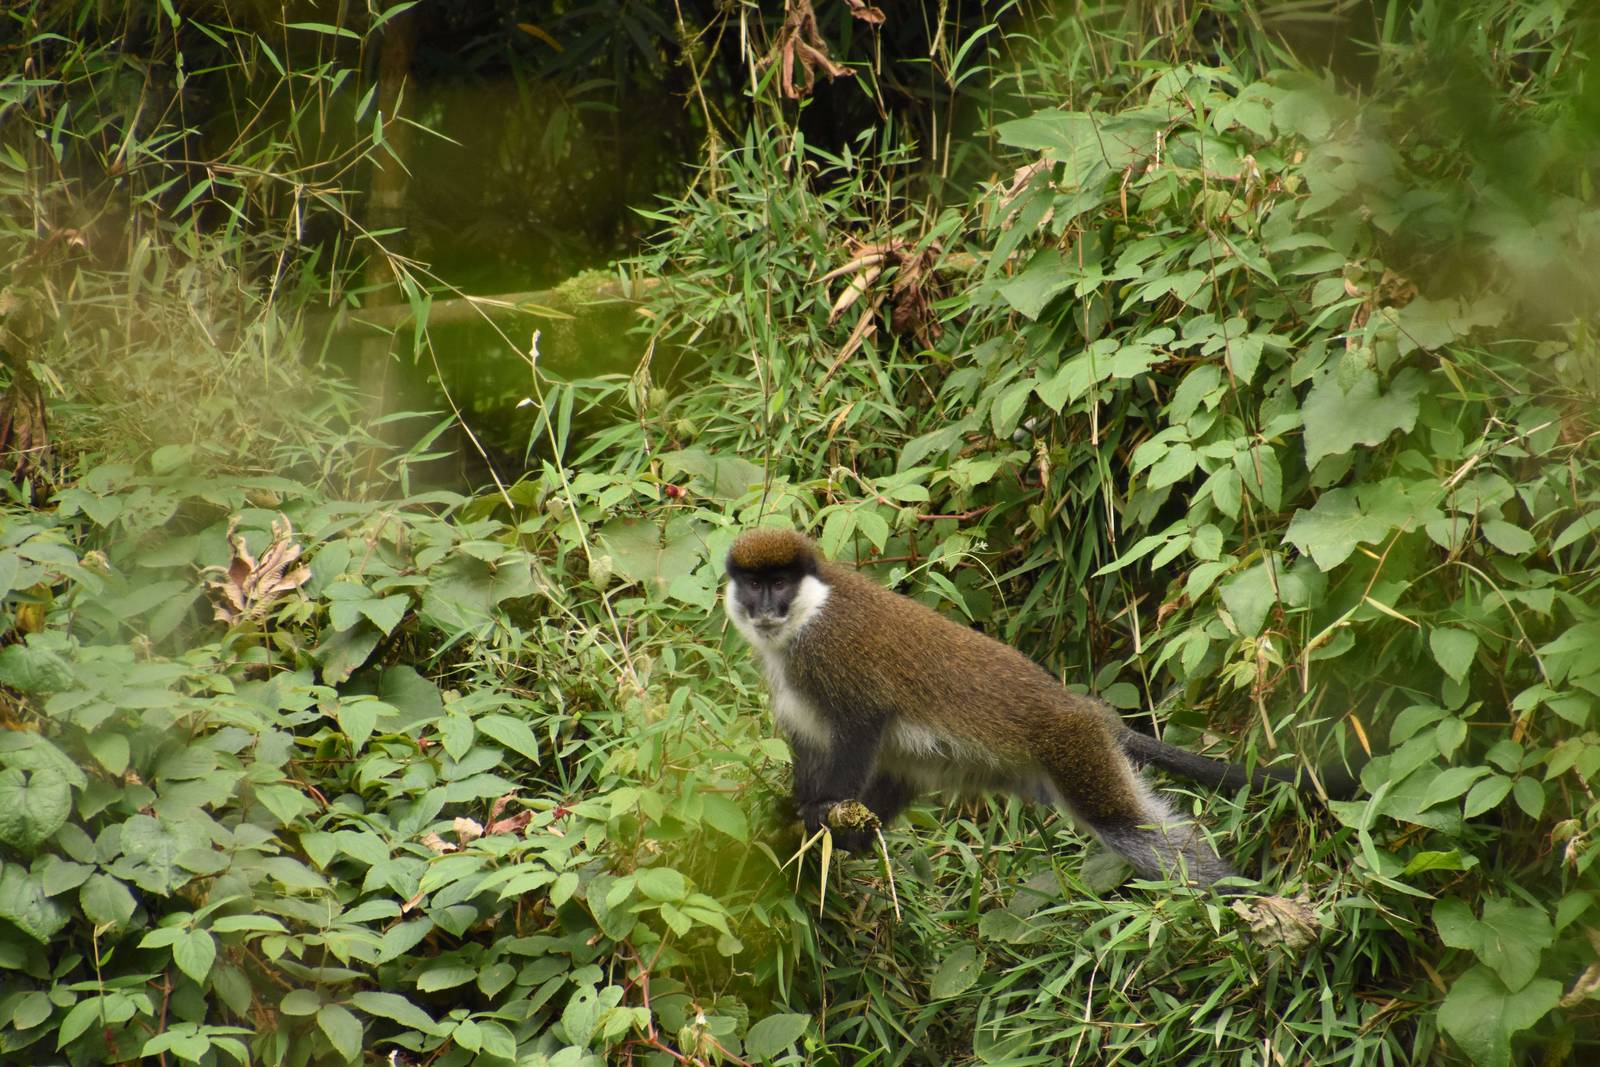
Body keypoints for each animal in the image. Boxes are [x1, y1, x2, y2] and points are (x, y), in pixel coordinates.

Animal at [722, 527, 1358, 892]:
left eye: (779, 581)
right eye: (753, 583)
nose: (765, 606)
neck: (806, 613)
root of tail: (1081, 708)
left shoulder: (832, 655)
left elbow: (862, 725)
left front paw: (822, 811)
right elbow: (814, 747)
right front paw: (800, 813)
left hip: (1074, 748)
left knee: (1132, 831)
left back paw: (1238, 897)